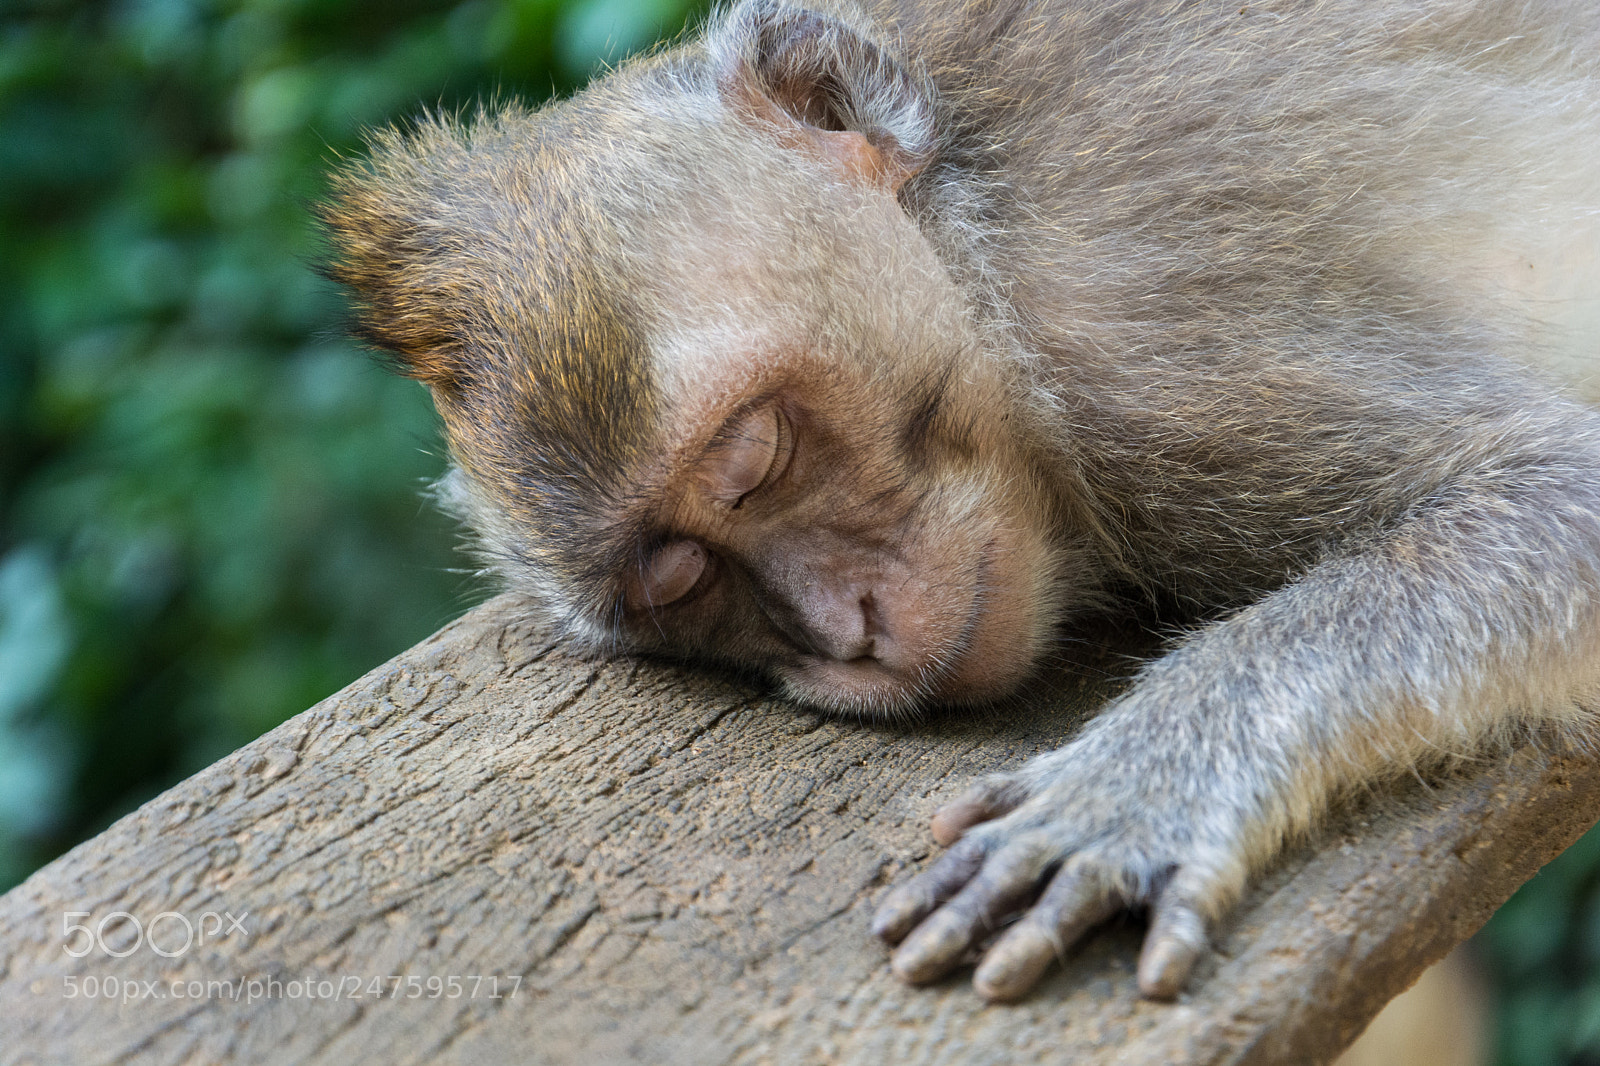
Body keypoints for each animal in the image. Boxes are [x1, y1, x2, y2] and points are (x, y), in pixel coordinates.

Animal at [320, 0, 1600, 1003]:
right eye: (678, 580)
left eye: (756, 454)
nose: (849, 632)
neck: (971, 239)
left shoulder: (1149, 349)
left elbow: (1563, 494)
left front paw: (1129, 793)